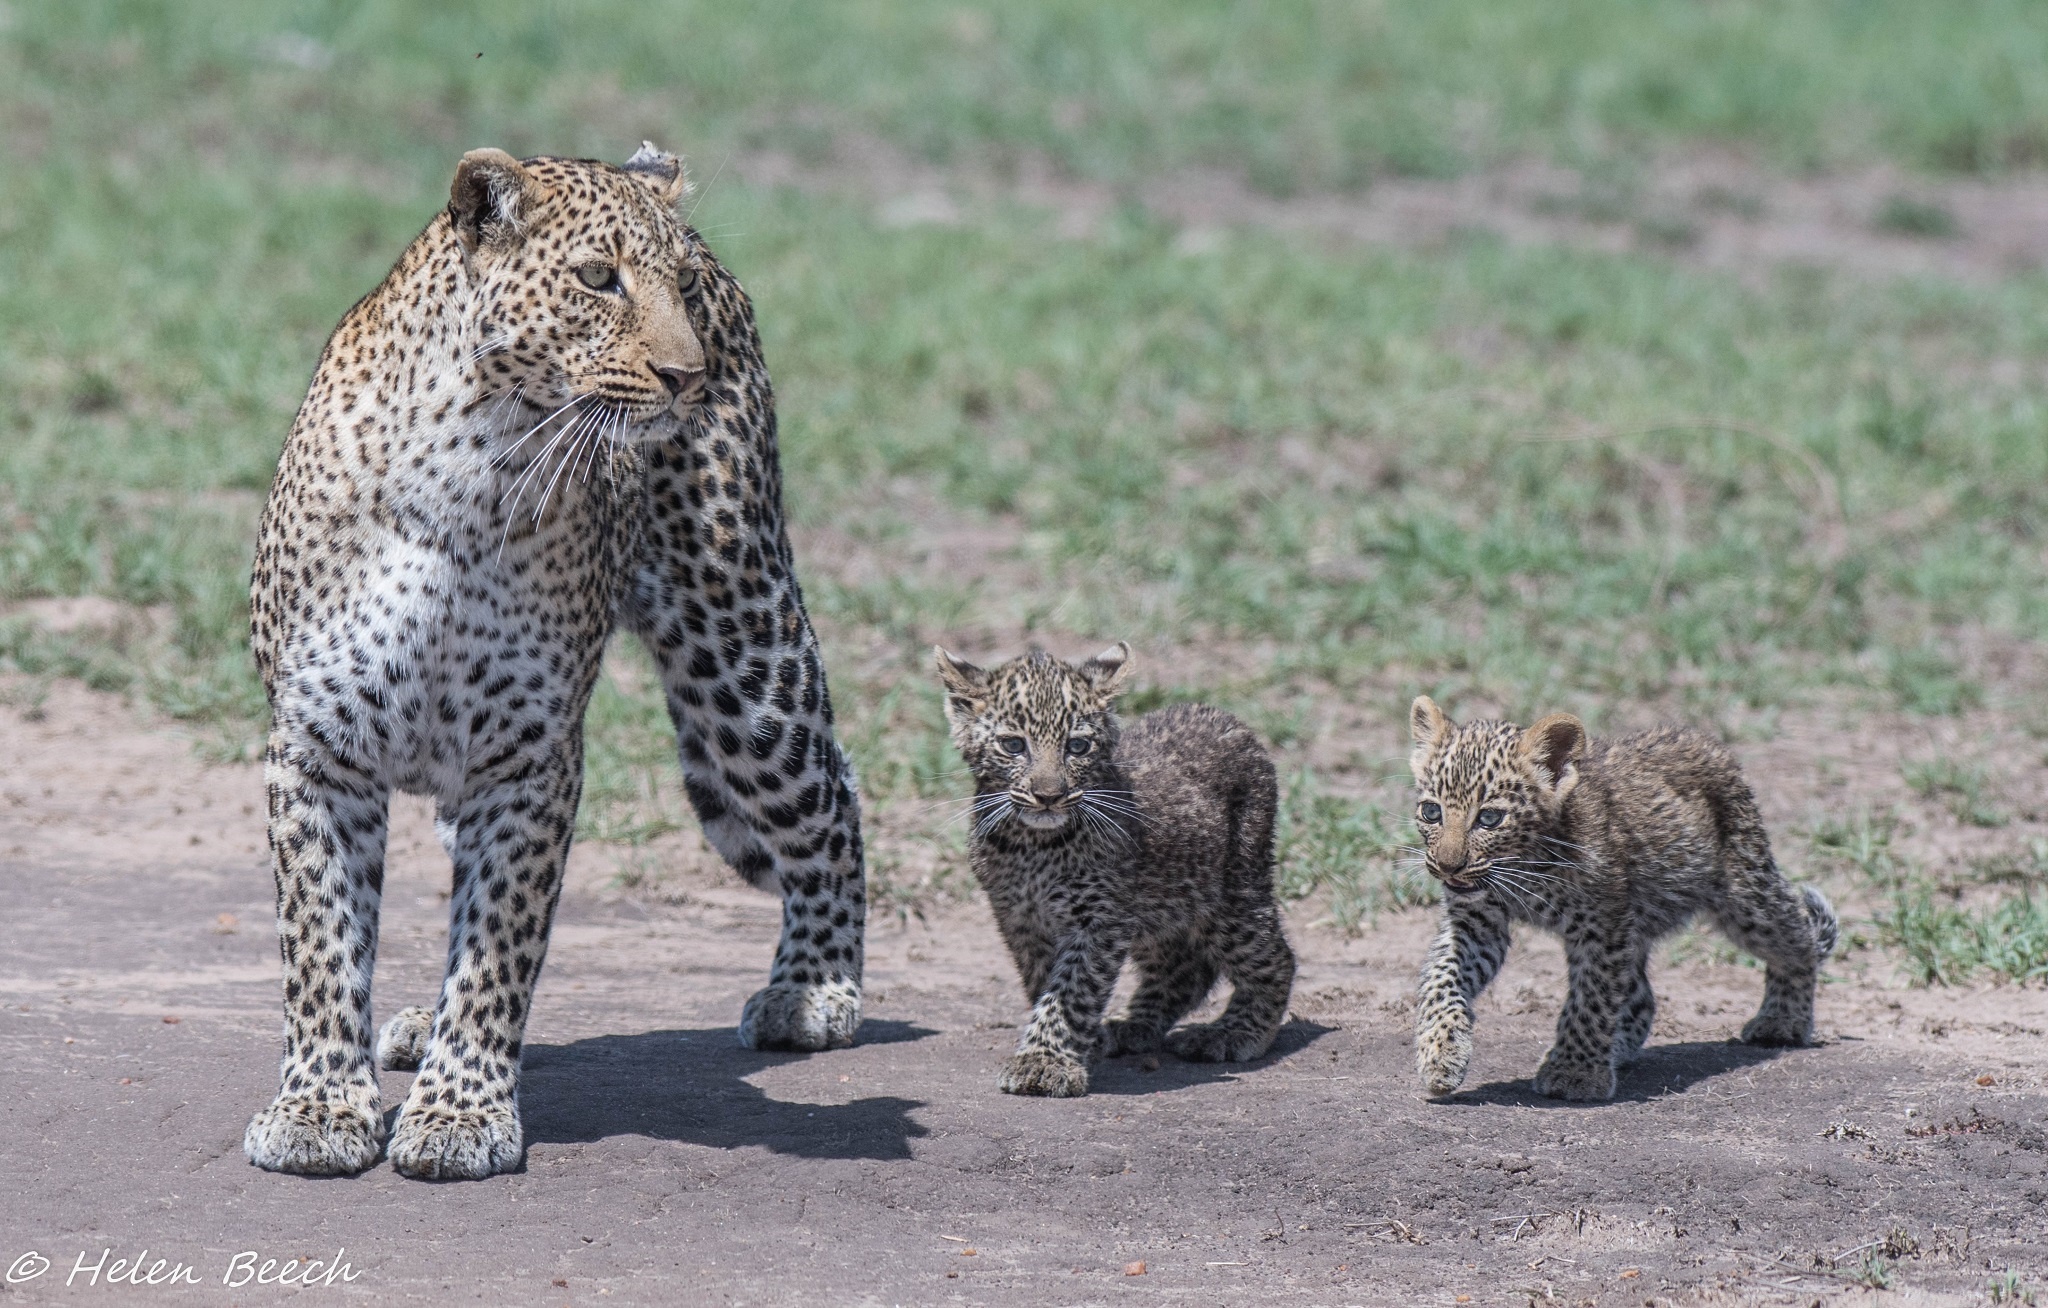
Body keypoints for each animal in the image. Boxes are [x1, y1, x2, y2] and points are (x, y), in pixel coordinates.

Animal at [245, 148, 864, 1179]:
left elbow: (498, 946)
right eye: (597, 279)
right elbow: (323, 943)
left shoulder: (531, 756)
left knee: (833, 794)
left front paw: (459, 1114)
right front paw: (322, 1108)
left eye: (674, 284)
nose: (687, 376)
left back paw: (815, 989)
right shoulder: (317, 746)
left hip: (741, 645)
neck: (468, 465)